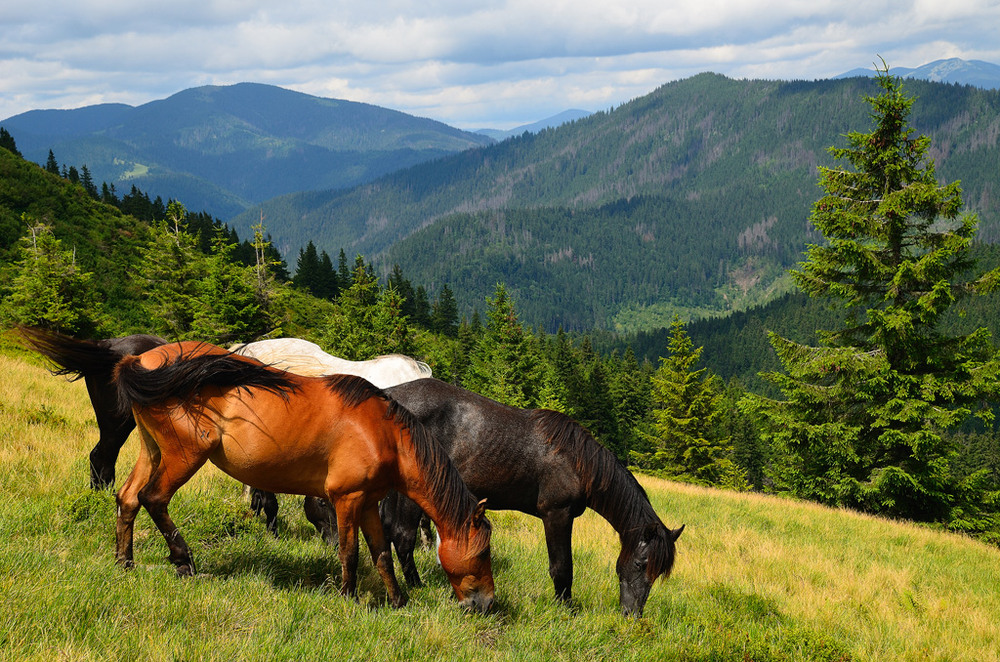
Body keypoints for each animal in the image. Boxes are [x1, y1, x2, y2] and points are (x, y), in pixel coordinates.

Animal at [111, 344, 494, 616]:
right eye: (482, 553)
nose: (487, 604)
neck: (381, 431)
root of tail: (142, 360)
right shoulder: (348, 499)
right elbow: (350, 552)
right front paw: (349, 598)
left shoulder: (368, 503)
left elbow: (382, 553)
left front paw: (400, 601)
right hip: (184, 456)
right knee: (153, 499)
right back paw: (183, 561)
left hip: (152, 450)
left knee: (127, 498)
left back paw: (124, 563)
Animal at [376, 382, 688, 620]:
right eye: (640, 564)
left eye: (657, 573)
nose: (631, 615)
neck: (576, 462)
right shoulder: (557, 515)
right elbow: (562, 567)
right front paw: (566, 609)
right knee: (403, 537)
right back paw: (417, 586)